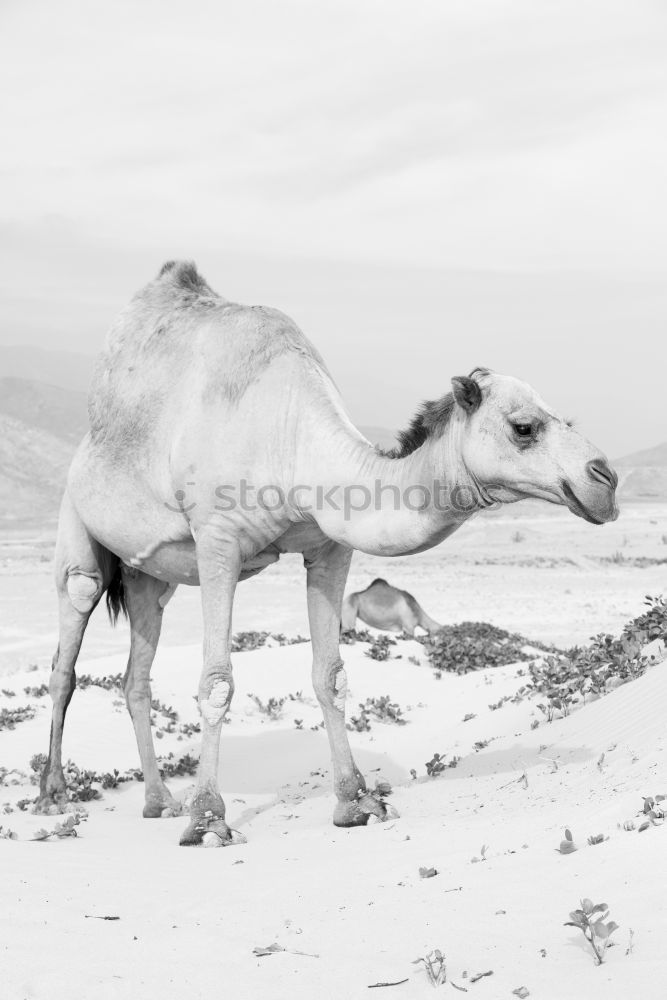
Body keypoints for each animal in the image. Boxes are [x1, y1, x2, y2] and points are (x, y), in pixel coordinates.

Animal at [35, 260, 620, 844]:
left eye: (565, 417)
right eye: (524, 427)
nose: (606, 480)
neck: (292, 441)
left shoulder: (328, 548)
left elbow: (331, 675)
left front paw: (355, 803)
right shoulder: (218, 540)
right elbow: (217, 682)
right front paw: (208, 819)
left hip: (149, 575)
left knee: (136, 673)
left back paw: (158, 801)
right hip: (76, 524)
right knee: (68, 646)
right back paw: (53, 796)